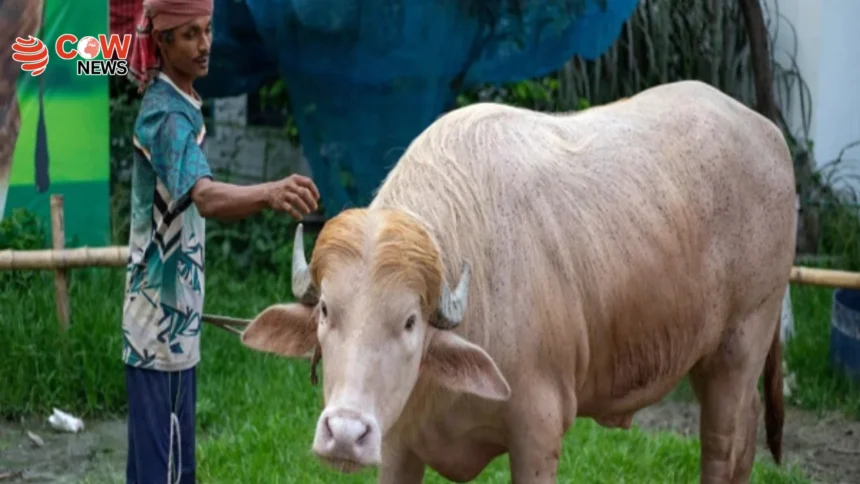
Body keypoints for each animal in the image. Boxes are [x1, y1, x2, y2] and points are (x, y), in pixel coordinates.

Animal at [240, 80, 795, 483]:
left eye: (410, 321)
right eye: (327, 311)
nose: (344, 433)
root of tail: (767, 132)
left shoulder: (539, 432)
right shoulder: (398, 443)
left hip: (742, 341)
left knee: (722, 445)